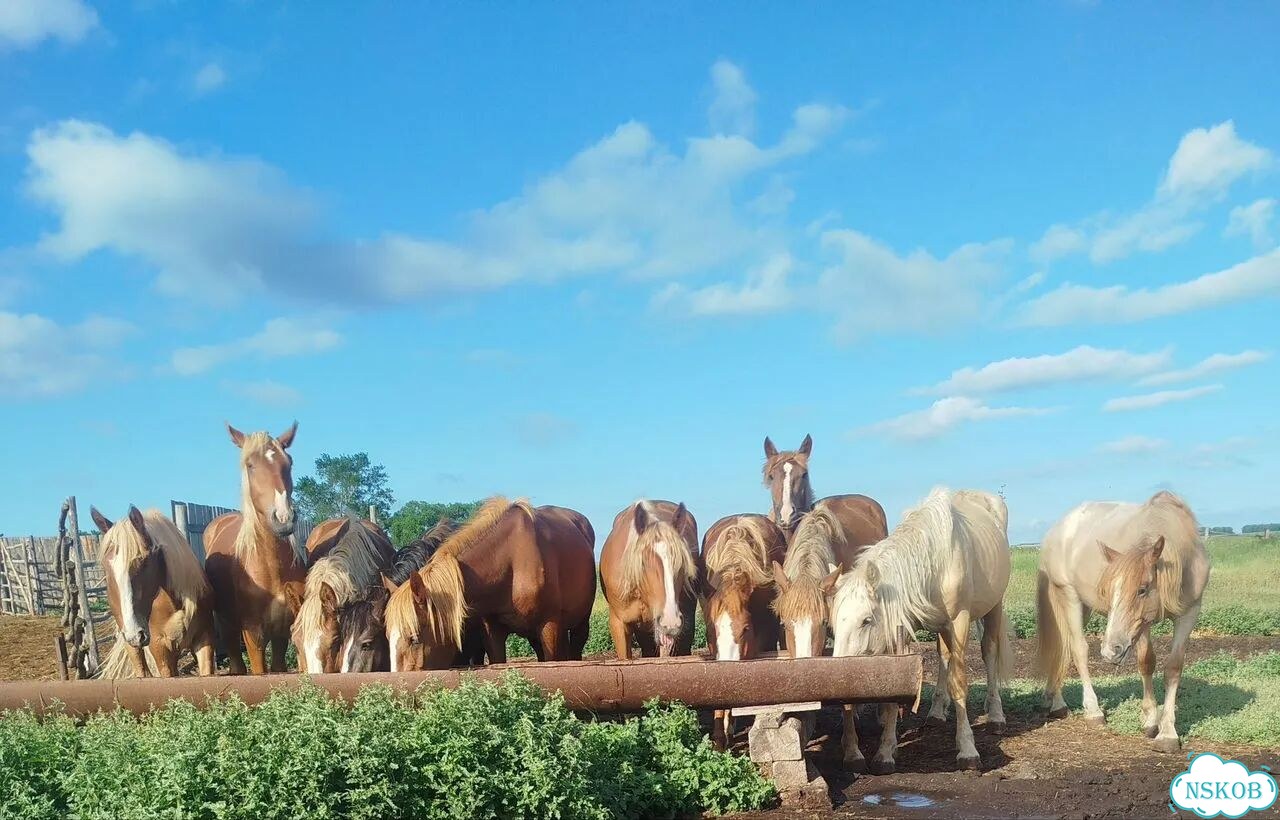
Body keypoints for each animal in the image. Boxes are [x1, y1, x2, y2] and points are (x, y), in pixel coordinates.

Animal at [92, 505, 215, 678]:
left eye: (143, 561)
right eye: (105, 567)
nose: (136, 632)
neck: (175, 604)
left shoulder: (204, 639)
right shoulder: (160, 648)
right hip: (131, 641)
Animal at [204, 422, 304, 675]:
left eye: (289, 462)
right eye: (250, 465)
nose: (283, 518)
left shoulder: (282, 632)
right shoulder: (253, 636)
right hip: (227, 625)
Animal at [384, 499, 596, 671]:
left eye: (414, 638)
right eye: (387, 637)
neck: (512, 560)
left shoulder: (549, 626)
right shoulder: (493, 632)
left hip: (579, 624)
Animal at [829, 488, 1011, 772]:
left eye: (866, 620)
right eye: (834, 625)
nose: (837, 677)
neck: (932, 564)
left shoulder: (959, 621)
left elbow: (959, 683)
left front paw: (967, 750)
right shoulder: (901, 627)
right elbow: (893, 692)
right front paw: (885, 753)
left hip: (993, 607)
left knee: (989, 653)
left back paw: (995, 715)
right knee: (944, 657)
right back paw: (937, 711)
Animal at [1036, 491, 1210, 753]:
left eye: (1142, 589)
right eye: (1108, 591)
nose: (1110, 651)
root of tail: (1057, 530)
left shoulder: (1189, 613)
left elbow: (1174, 667)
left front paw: (1167, 732)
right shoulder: (1143, 623)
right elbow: (1146, 662)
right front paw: (1151, 719)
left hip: (1083, 607)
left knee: (1063, 647)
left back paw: (1056, 702)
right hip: (1069, 596)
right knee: (1077, 649)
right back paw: (1093, 710)